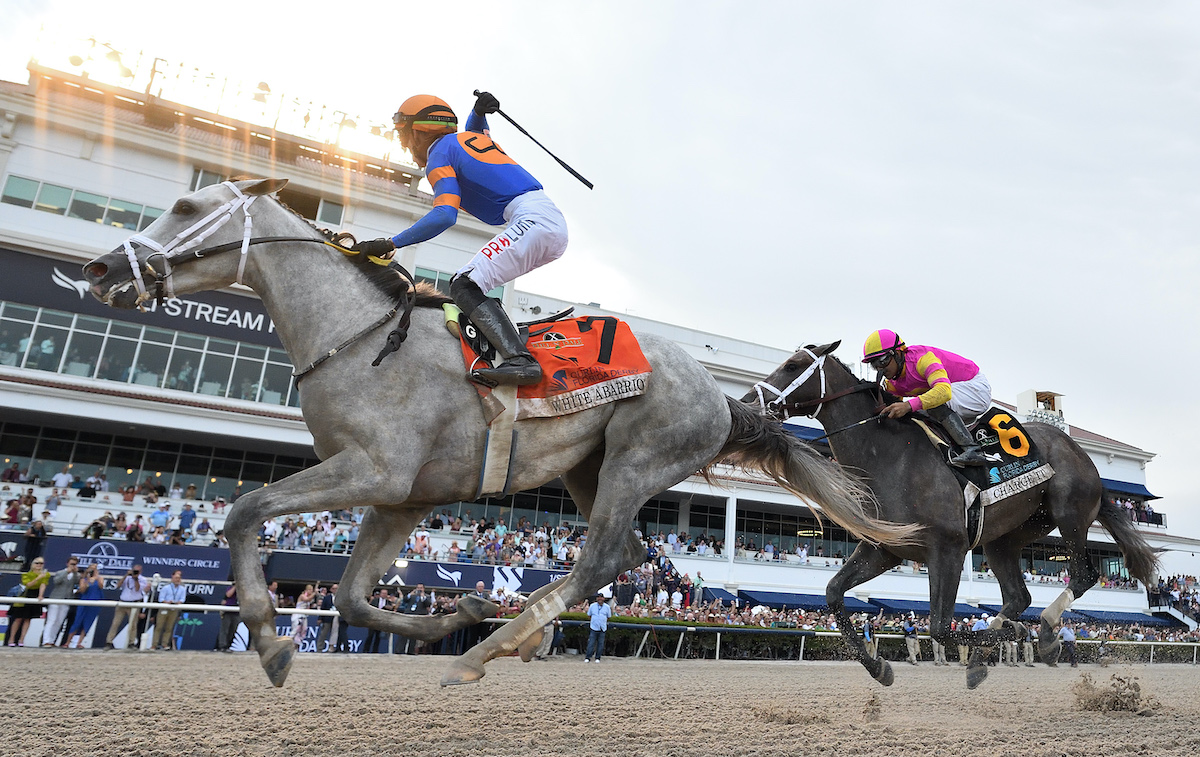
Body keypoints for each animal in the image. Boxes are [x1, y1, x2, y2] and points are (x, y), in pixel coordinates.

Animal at [77, 181, 916, 691]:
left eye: (185, 204)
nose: (101, 267)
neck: (357, 340)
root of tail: (719, 390)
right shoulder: (405, 498)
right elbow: (350, 597)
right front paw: (458, 610)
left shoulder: (375, 471)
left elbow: (246, 508)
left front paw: (272, 639)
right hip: (591, 469)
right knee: (626, 554)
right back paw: (510, 634)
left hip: (639, 456)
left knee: (600, 559)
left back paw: (487, 651)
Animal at [744, 343, 1156, 691]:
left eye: (792, 365)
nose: (748, 400)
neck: (891, 456)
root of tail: (1079, 451)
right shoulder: (885, 549)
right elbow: (833, 593)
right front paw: (879, 667)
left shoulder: (949, 549)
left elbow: (940, 627)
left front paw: (1010, 638)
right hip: (1003, 540)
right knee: (1019, 596)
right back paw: (995, 646)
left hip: (1069, 515)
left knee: (1083, 574)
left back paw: (1046, 631)